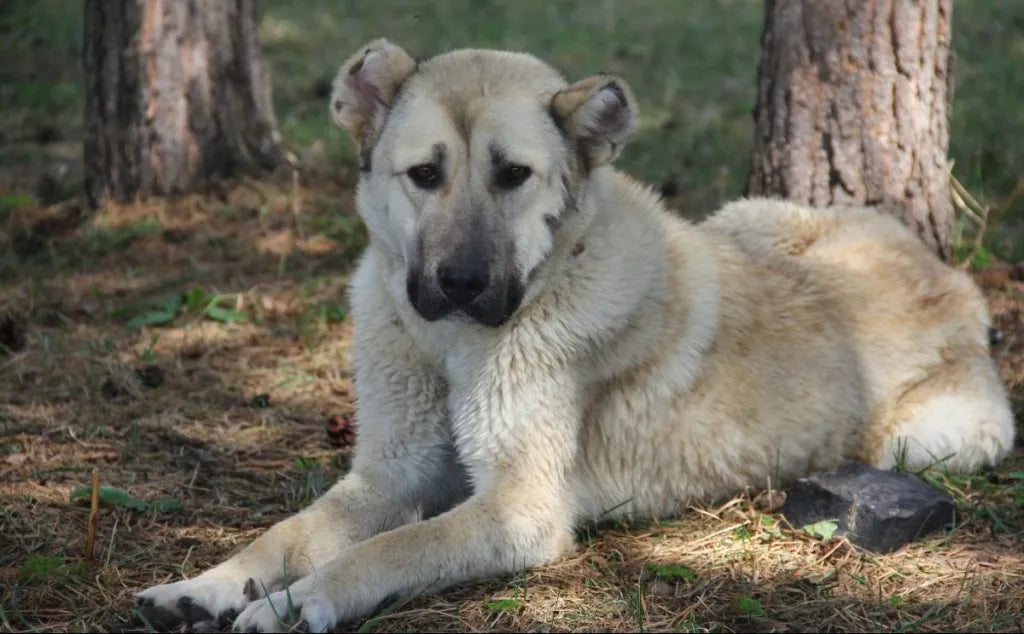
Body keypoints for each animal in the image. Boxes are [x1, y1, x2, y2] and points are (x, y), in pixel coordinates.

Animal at [138, 39, 1015, 630]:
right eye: (424, 174)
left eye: (513, 175)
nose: (460, 283)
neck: (452, 345)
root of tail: (952, 280)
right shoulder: (388, 475)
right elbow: (288, 534)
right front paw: (206, 586)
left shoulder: (517, 507)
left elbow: (385, 551)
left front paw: (297, 605)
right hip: (747, 217)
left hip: (923, 441)